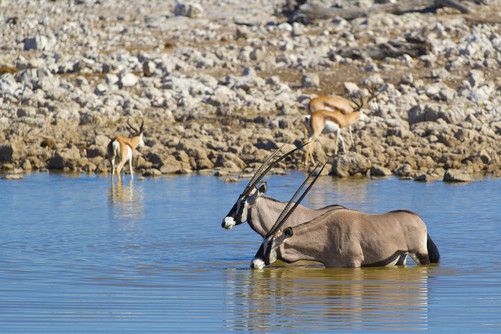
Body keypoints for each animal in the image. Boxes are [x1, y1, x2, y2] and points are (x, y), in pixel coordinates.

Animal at [250, 166, 438, 268]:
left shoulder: (353, 264)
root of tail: (419, 220)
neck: (327, 233)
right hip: (401, 259)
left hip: (420, 254)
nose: (254, 263)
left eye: (270, 244)